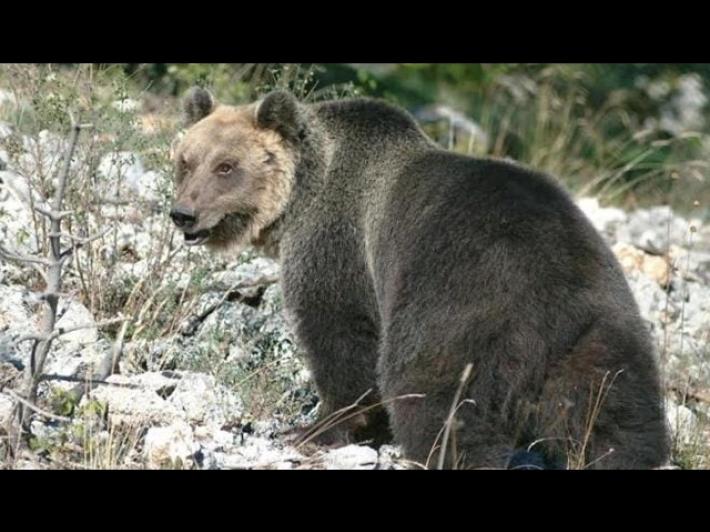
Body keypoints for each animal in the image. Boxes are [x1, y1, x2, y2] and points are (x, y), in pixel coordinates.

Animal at [169, 87, 671, 469]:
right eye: (186, 161)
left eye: (226, 166)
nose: (184, 214)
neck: (302, 195)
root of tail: (548, 294)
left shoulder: (338, 246)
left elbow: (340, 338)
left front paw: (313, 427)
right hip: (601, 331)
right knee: (613, 417)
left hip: (456, 310)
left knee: (437, 397)